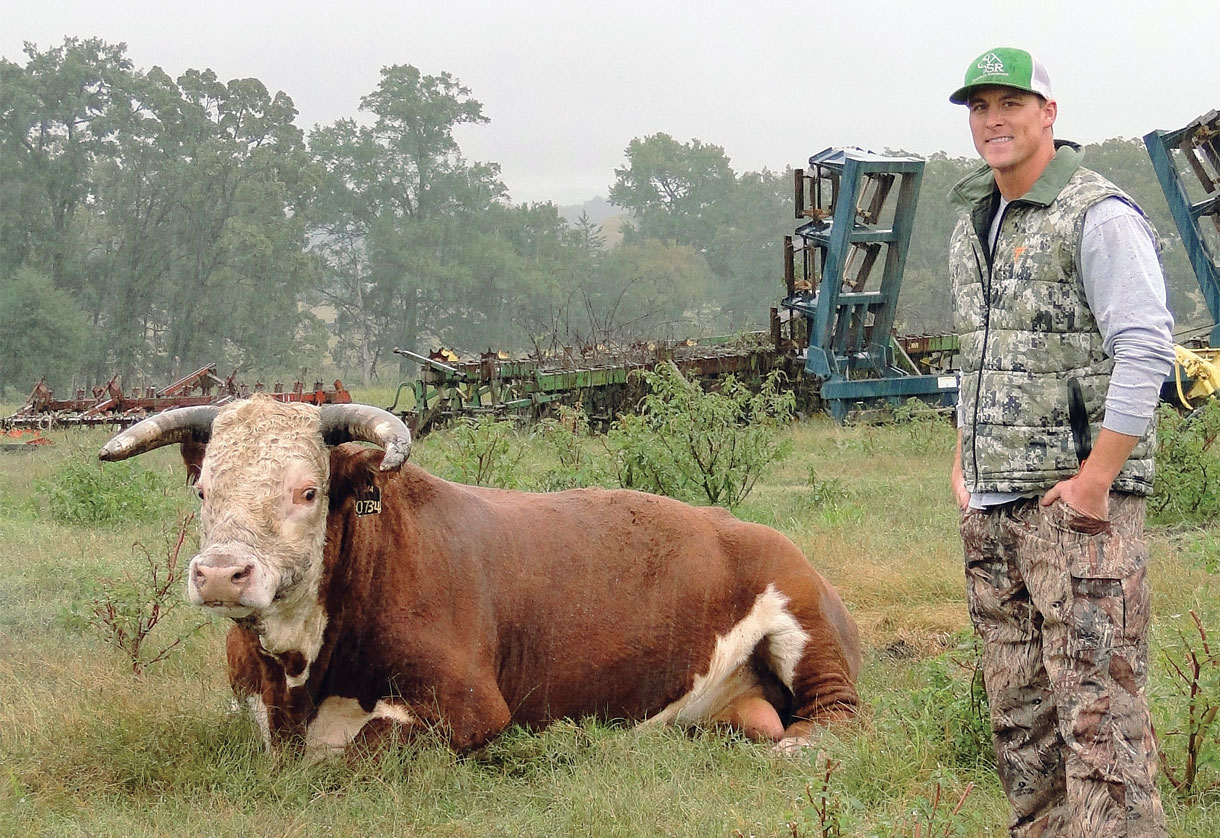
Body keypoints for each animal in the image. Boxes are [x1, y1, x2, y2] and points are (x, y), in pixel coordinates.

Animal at [100, 397, 863, 756]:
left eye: (307, 492)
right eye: (204, 492)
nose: (220, 574)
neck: (296, 672)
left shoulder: (469, 707)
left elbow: (359, 751)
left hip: (804, 621)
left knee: (839, 713)